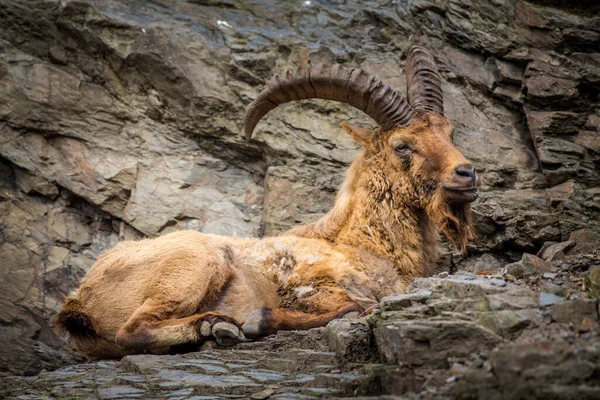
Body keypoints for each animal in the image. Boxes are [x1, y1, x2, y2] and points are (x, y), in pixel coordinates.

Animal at [56, 47, 478, 360]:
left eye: (448, 132)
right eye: (401, 145)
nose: (467, 174)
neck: (362, 242)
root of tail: (78, 302)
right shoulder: (308, 284)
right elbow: (352, 306)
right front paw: (258, 319)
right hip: (196, 261)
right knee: (132, 332)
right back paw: (218, 325)